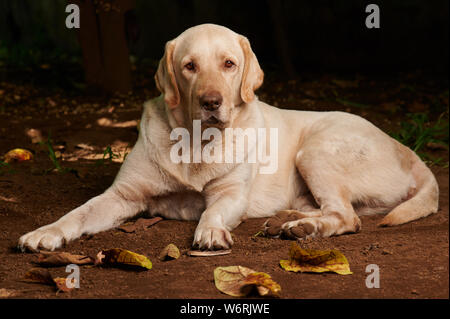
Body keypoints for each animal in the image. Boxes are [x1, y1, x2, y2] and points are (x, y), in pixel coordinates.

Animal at [19, 23, 438, 252]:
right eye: (189, 66)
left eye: (229, 64)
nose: (211, 102)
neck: (195, 142)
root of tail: (407, 150)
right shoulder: (122, 196)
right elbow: (77, 213)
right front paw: (45, 233)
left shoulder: (231, 194)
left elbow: (213, 211)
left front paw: (210, 231)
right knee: (339, 211)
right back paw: (287, 219)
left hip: (315, 150)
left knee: (346, 217)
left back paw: (303, 228)